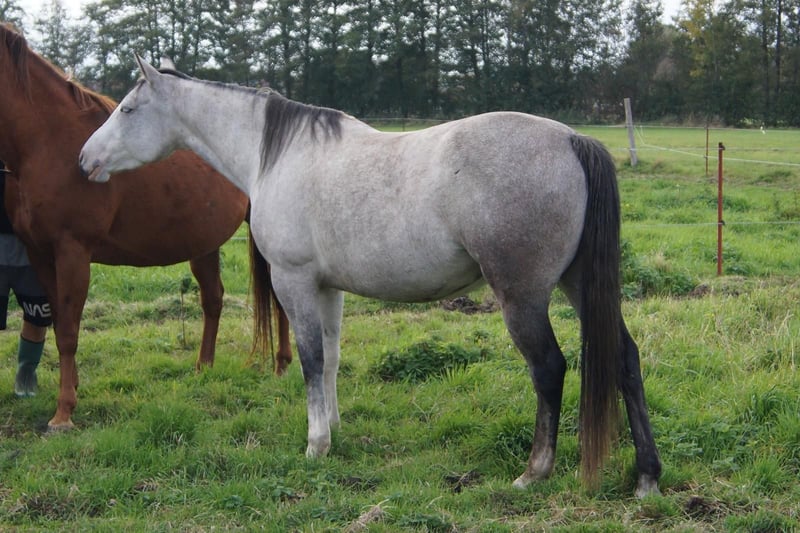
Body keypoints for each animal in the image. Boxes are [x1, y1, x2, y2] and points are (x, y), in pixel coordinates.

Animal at [0, 25, 292, 430]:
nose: (86, 162)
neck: (46, 141)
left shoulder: (73, 252)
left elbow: (70, 333)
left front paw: (63, 413)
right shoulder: (40, 254)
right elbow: (59, 325)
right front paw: (71, 390)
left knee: (278, 300)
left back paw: (281, 366)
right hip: (204, 242)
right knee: (213, 298)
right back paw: (204, 368)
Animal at [79, 55, 662, 497]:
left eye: (127, 108)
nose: (85, 160)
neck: (275, 156)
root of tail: (571, 140)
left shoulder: (294, 282)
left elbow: (311, 360)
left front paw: (315, 445)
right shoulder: (327, 288)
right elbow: (333, 358)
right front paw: (334, 428)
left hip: (522, 297)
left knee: (549, 368)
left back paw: (533, 472)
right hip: (578, 285)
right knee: (625, 359)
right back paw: (647, 477)